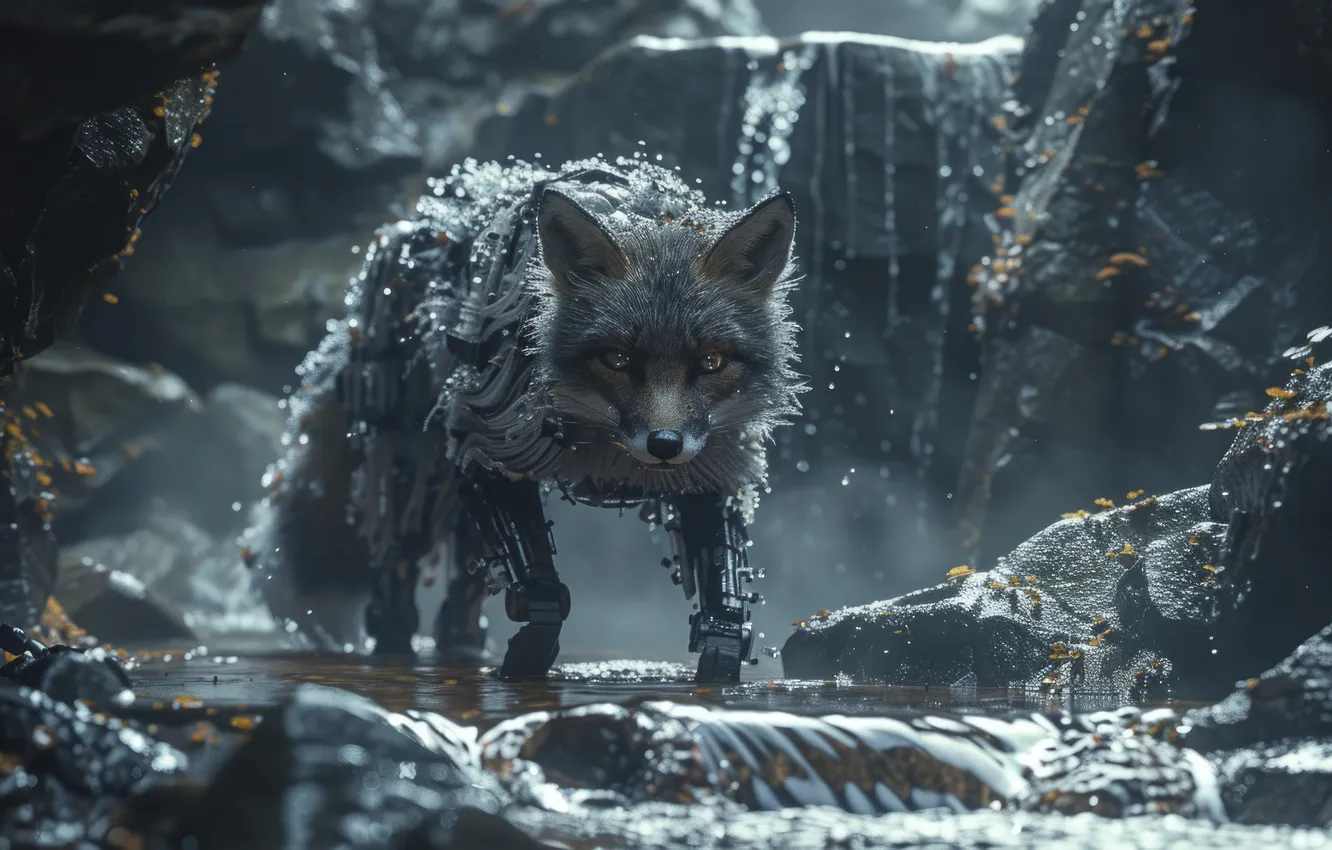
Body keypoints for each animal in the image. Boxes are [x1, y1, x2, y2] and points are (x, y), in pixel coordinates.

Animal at [242, 156, 802, 682]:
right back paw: (395, 644)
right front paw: (528, 659)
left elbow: (723, 595)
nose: (664, 446)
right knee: (399, 570)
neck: (604, 445)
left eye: (711, 362)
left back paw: (462, 644)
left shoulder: (711, 465)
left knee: (464, 587)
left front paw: (720, 659)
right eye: (618, 359)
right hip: (411, 472)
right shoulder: (490, 445)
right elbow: (540, 592)